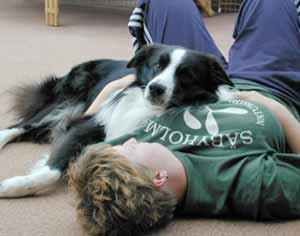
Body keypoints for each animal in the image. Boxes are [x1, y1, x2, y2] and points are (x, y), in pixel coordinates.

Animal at [0, 43, 233, 197]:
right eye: (157, 66)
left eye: (186, 75)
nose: (155, 88)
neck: (148, 108)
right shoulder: (87, 123)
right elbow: (52, 169)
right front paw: (14, 186)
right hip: (67, 101)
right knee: (20, 125)